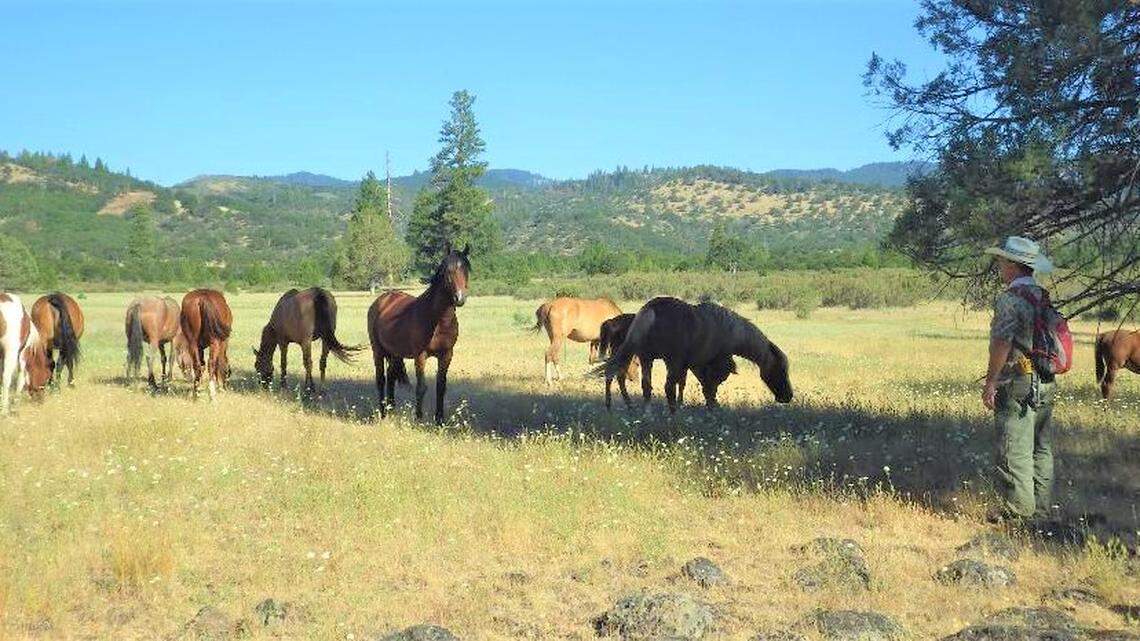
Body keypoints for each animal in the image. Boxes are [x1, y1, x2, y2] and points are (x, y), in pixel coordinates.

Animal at [368, 243, 470, 424]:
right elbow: (421, 387)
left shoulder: (447, 355)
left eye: (466, 269)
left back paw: (391, 410)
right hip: (378, 351)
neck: (438, 320)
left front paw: (439, 420)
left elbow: (441, 387)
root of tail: (381, 300)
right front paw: (419, 419)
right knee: (381, 379)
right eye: (447, 270)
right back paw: (383, 413)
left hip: (395, 353)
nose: (460, 298)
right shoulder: (420, 355)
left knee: (391, 377)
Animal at [598, 296, 793, 412]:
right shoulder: (714, 365)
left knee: (644, 386)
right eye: (781, 370)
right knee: (664, 387)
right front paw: (712, 407)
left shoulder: (690, 365)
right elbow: (709, 386)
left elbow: (690, 384)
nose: (788, 396)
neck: (729, 330)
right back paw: (671, 415)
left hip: (646, 358)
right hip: (666, 360)